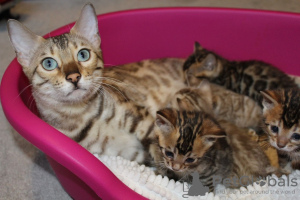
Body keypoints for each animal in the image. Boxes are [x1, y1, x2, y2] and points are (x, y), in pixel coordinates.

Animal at [7, 3, 188, 163]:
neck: (83, 117)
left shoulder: (142, 118)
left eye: (83, 54)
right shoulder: (127, 154)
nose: (74, 77)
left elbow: (159, 149)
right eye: (48, 63)